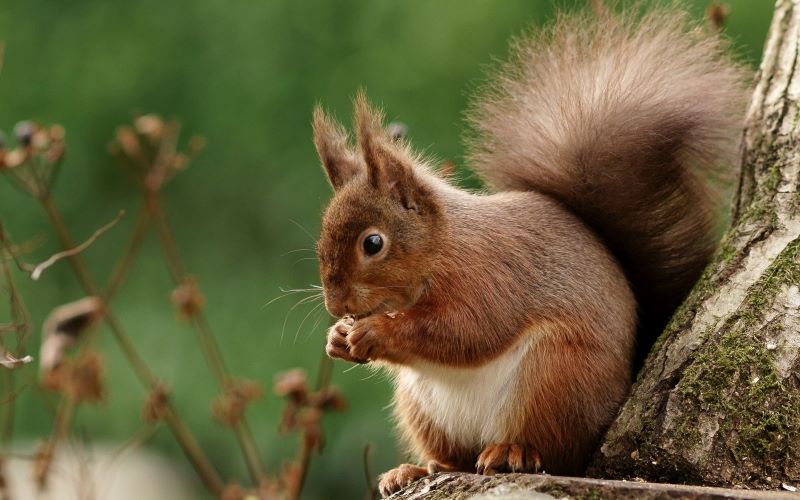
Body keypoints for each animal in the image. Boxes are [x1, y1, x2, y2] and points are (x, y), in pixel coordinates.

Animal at [310, 2, 744, 496]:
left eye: (373, 243)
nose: (335, 304)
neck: (443, 247)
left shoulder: (491, 275)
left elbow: (466, 331)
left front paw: (374, 332)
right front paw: (338, 337)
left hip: (555, 377)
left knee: (552, 449)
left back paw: (511, 451)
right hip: (422, 406)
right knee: (456, 458)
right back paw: (415, 469)